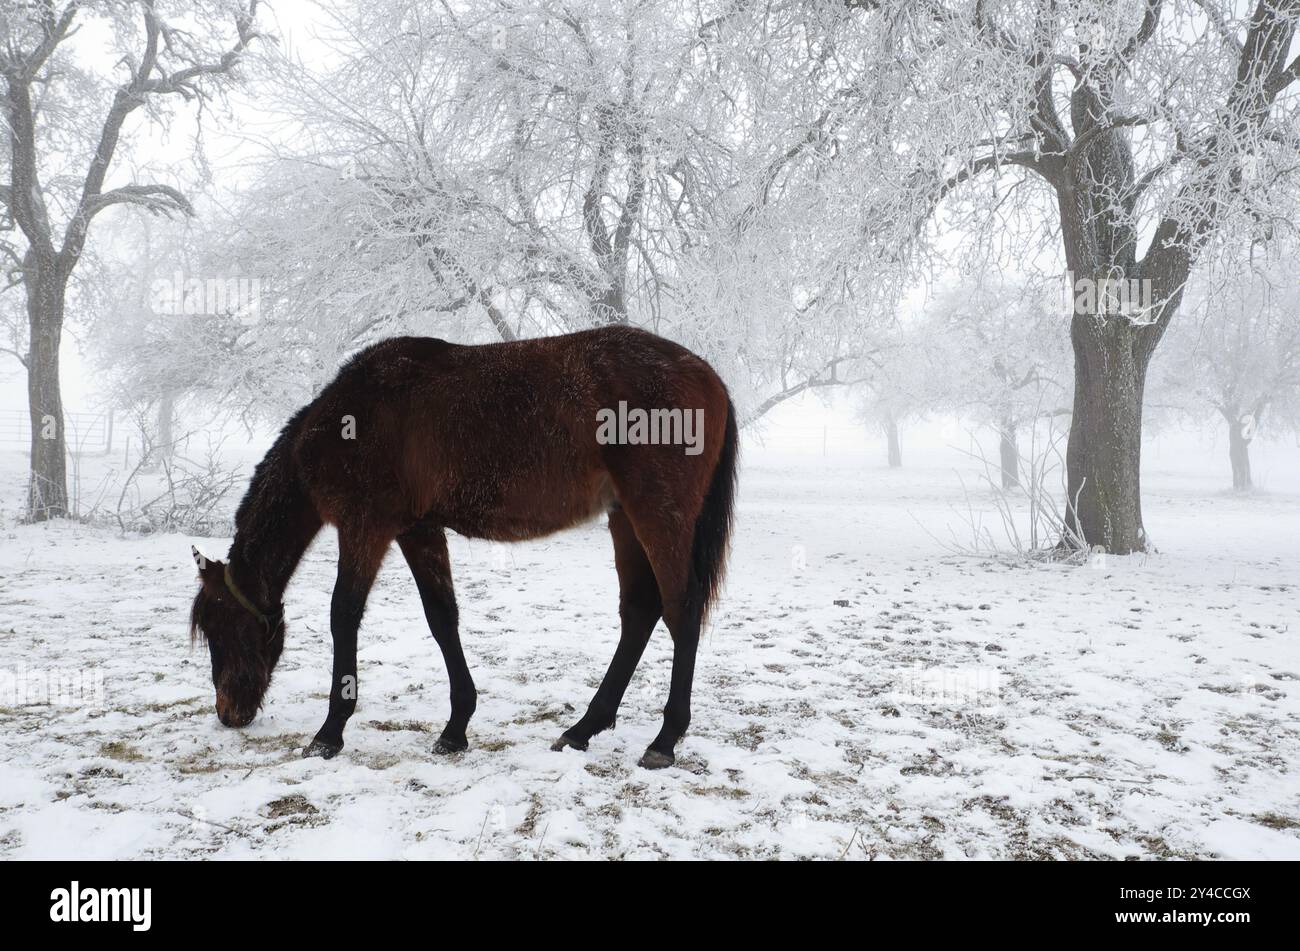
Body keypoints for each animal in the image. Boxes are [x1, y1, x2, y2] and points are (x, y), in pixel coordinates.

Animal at [192, 323, 743, 769]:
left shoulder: (365, 526)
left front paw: (329, 734)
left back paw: (664, 740)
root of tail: (709, 377)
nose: (228, 713)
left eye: (220, 627)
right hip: (625, 517)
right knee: (639, 612)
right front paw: (456, 729)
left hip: (659, 515)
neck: (350, 420)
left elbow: (343, 615)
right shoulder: (418, 530)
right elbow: (442, 617)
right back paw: (583, 729)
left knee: (681, 609)